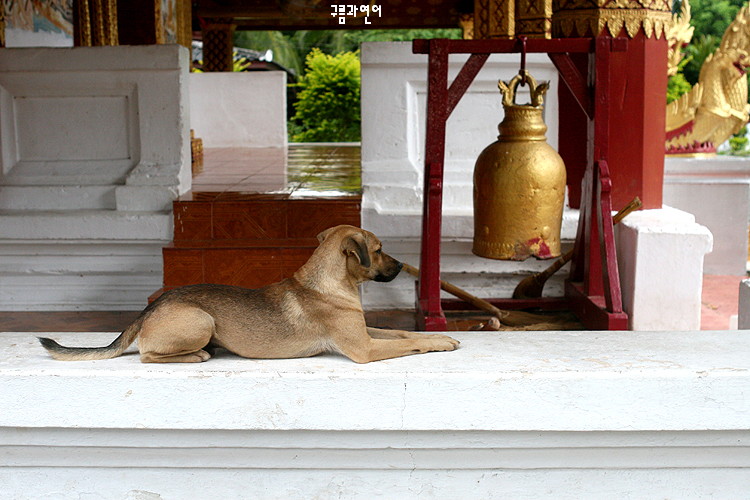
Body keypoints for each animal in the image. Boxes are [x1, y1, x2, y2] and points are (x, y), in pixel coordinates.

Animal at [42, 227, 464, 364]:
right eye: (378, 250)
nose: (403, 266)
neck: (325, 281)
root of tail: (150, 308)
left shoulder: (366, 332)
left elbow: (405, 333)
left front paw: (442, 335)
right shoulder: (364, 349)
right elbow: (407, 344)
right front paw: (440, 343)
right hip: (200, 319)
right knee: (148, 356)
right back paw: (197, 355)